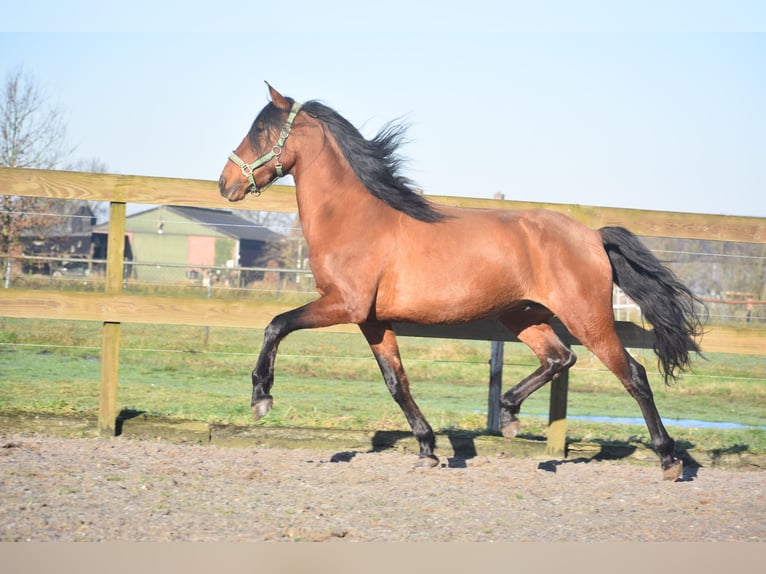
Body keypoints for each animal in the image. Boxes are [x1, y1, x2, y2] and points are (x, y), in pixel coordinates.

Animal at [218, 83, 708, 482]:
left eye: (260, 130)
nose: (225, 183)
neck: (355, 219)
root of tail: (592, 235)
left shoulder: (343, 305)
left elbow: (277, 324)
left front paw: (261, 396)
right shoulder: (372, 320)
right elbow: (396, 383)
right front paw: (428, 449)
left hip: (587, 318)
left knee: (633, 375)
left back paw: (669, 460)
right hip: (522, 315)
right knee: (559, 357)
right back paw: (509, 416)